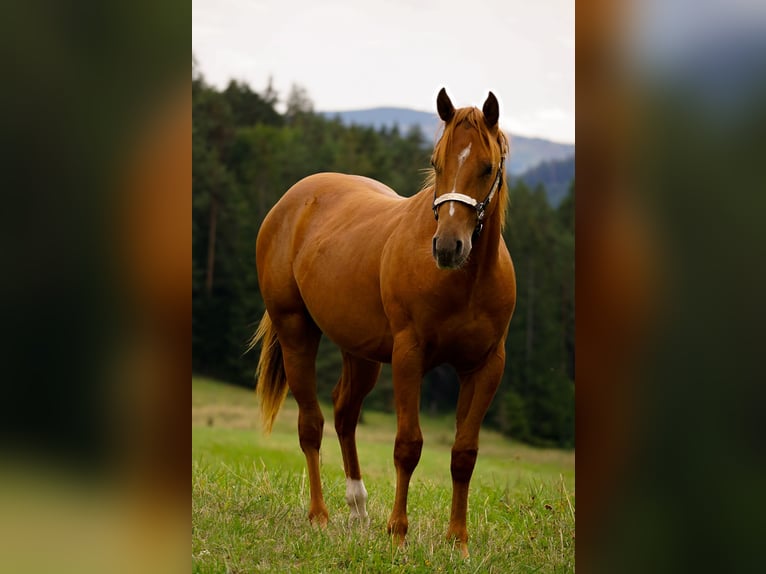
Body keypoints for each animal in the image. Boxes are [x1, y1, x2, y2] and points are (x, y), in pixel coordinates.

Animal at [249, 88, 516, 558]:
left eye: (487, 167)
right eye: (437, 163)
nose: (448, 247)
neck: (465, 281)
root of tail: (292, 200)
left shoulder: (485, 367)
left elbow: (464, 452)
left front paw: (458, 540)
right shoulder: (409, 355)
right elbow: (408, 445)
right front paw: (398, 533)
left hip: (361, 354)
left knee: (344, 413)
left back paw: (358, 508)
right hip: (297, 332)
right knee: (311, 425)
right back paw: (320, 516)